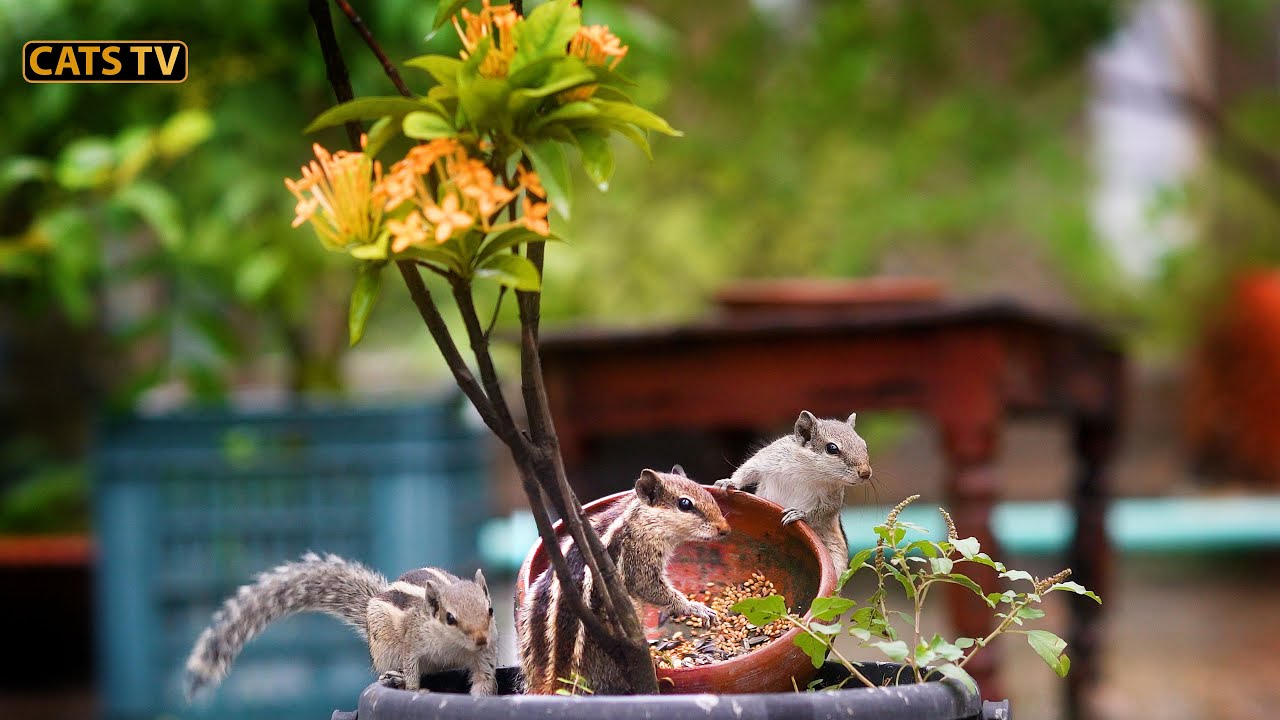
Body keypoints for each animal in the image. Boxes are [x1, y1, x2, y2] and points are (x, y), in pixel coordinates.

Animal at [184, 552, 498, 697]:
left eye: (490, 610)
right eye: (450, 618)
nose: (482, 639)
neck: (453, 647)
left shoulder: (483, 655)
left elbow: (483, 678)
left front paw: (480, 698)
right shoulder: (413, 643)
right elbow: (411, 669)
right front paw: (414, 690)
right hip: (384, 649)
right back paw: (392, 678)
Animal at [517, 467, 730, 695]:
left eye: (707, 494)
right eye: (685, 504)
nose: (725, 529)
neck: (638, 520)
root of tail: (555, 677)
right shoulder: (639, 560)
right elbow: (651, 588)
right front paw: (697, 608)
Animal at [715, 411, 872, 575]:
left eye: (864, 445)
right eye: (832, 448)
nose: (866, 473)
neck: (809, 470)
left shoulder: (833, 496)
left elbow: (826, 510)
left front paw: (800, 514)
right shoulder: (769, 457)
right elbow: (749, 469)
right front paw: (730, 482)